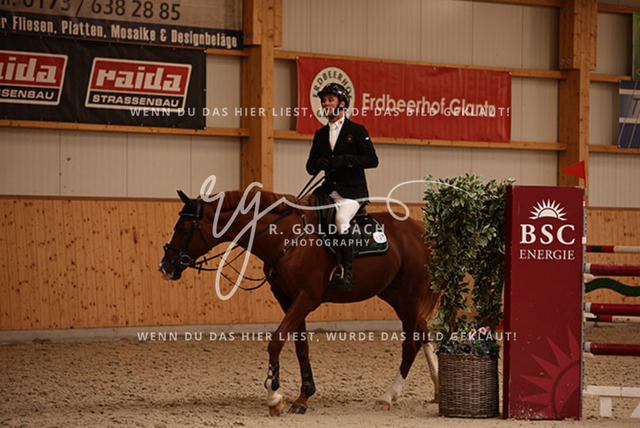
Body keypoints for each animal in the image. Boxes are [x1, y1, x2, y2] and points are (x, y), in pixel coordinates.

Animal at [158, 187, 440, 415]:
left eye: (183, 228)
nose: (164, 267)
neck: (286, 239)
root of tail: (419, 229)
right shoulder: (289, 300)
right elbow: (300, 347)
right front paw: (303, 397)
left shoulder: (305, 298)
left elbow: (276, 341)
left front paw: (274, 398)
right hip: (394, 295)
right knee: (423, 332)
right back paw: (438, 388)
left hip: (409, 295)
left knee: (411, 344)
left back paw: (388, 396)